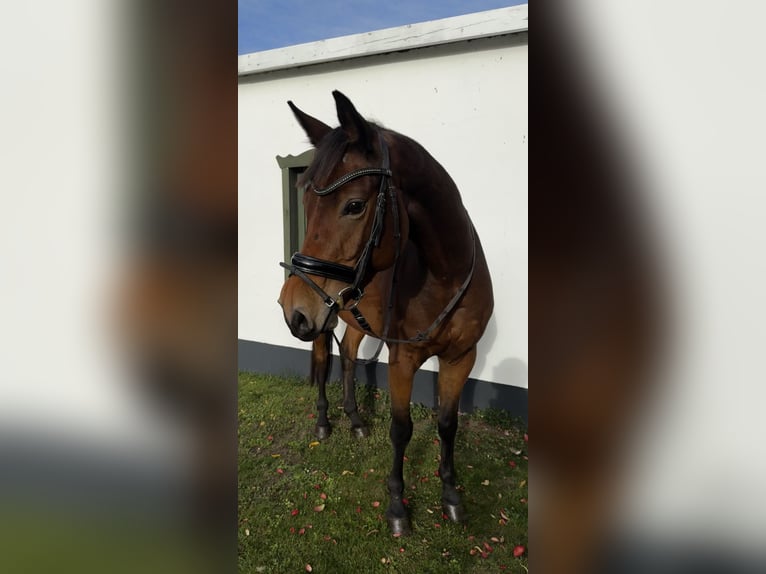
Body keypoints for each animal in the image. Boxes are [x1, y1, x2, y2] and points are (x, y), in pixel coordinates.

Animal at [277, 91, 494, 535]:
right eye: (304, 201)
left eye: (354, 205)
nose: (292, 307)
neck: (445, 274)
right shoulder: (403, 359)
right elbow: (401, 429)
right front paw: (397, 506)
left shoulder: (462, 357)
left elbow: (448, 425)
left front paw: (451, 496)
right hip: (324, 323)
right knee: (324, 362)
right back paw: (325, 423)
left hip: (348, 317)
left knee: (347, 356)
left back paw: (356, 420)